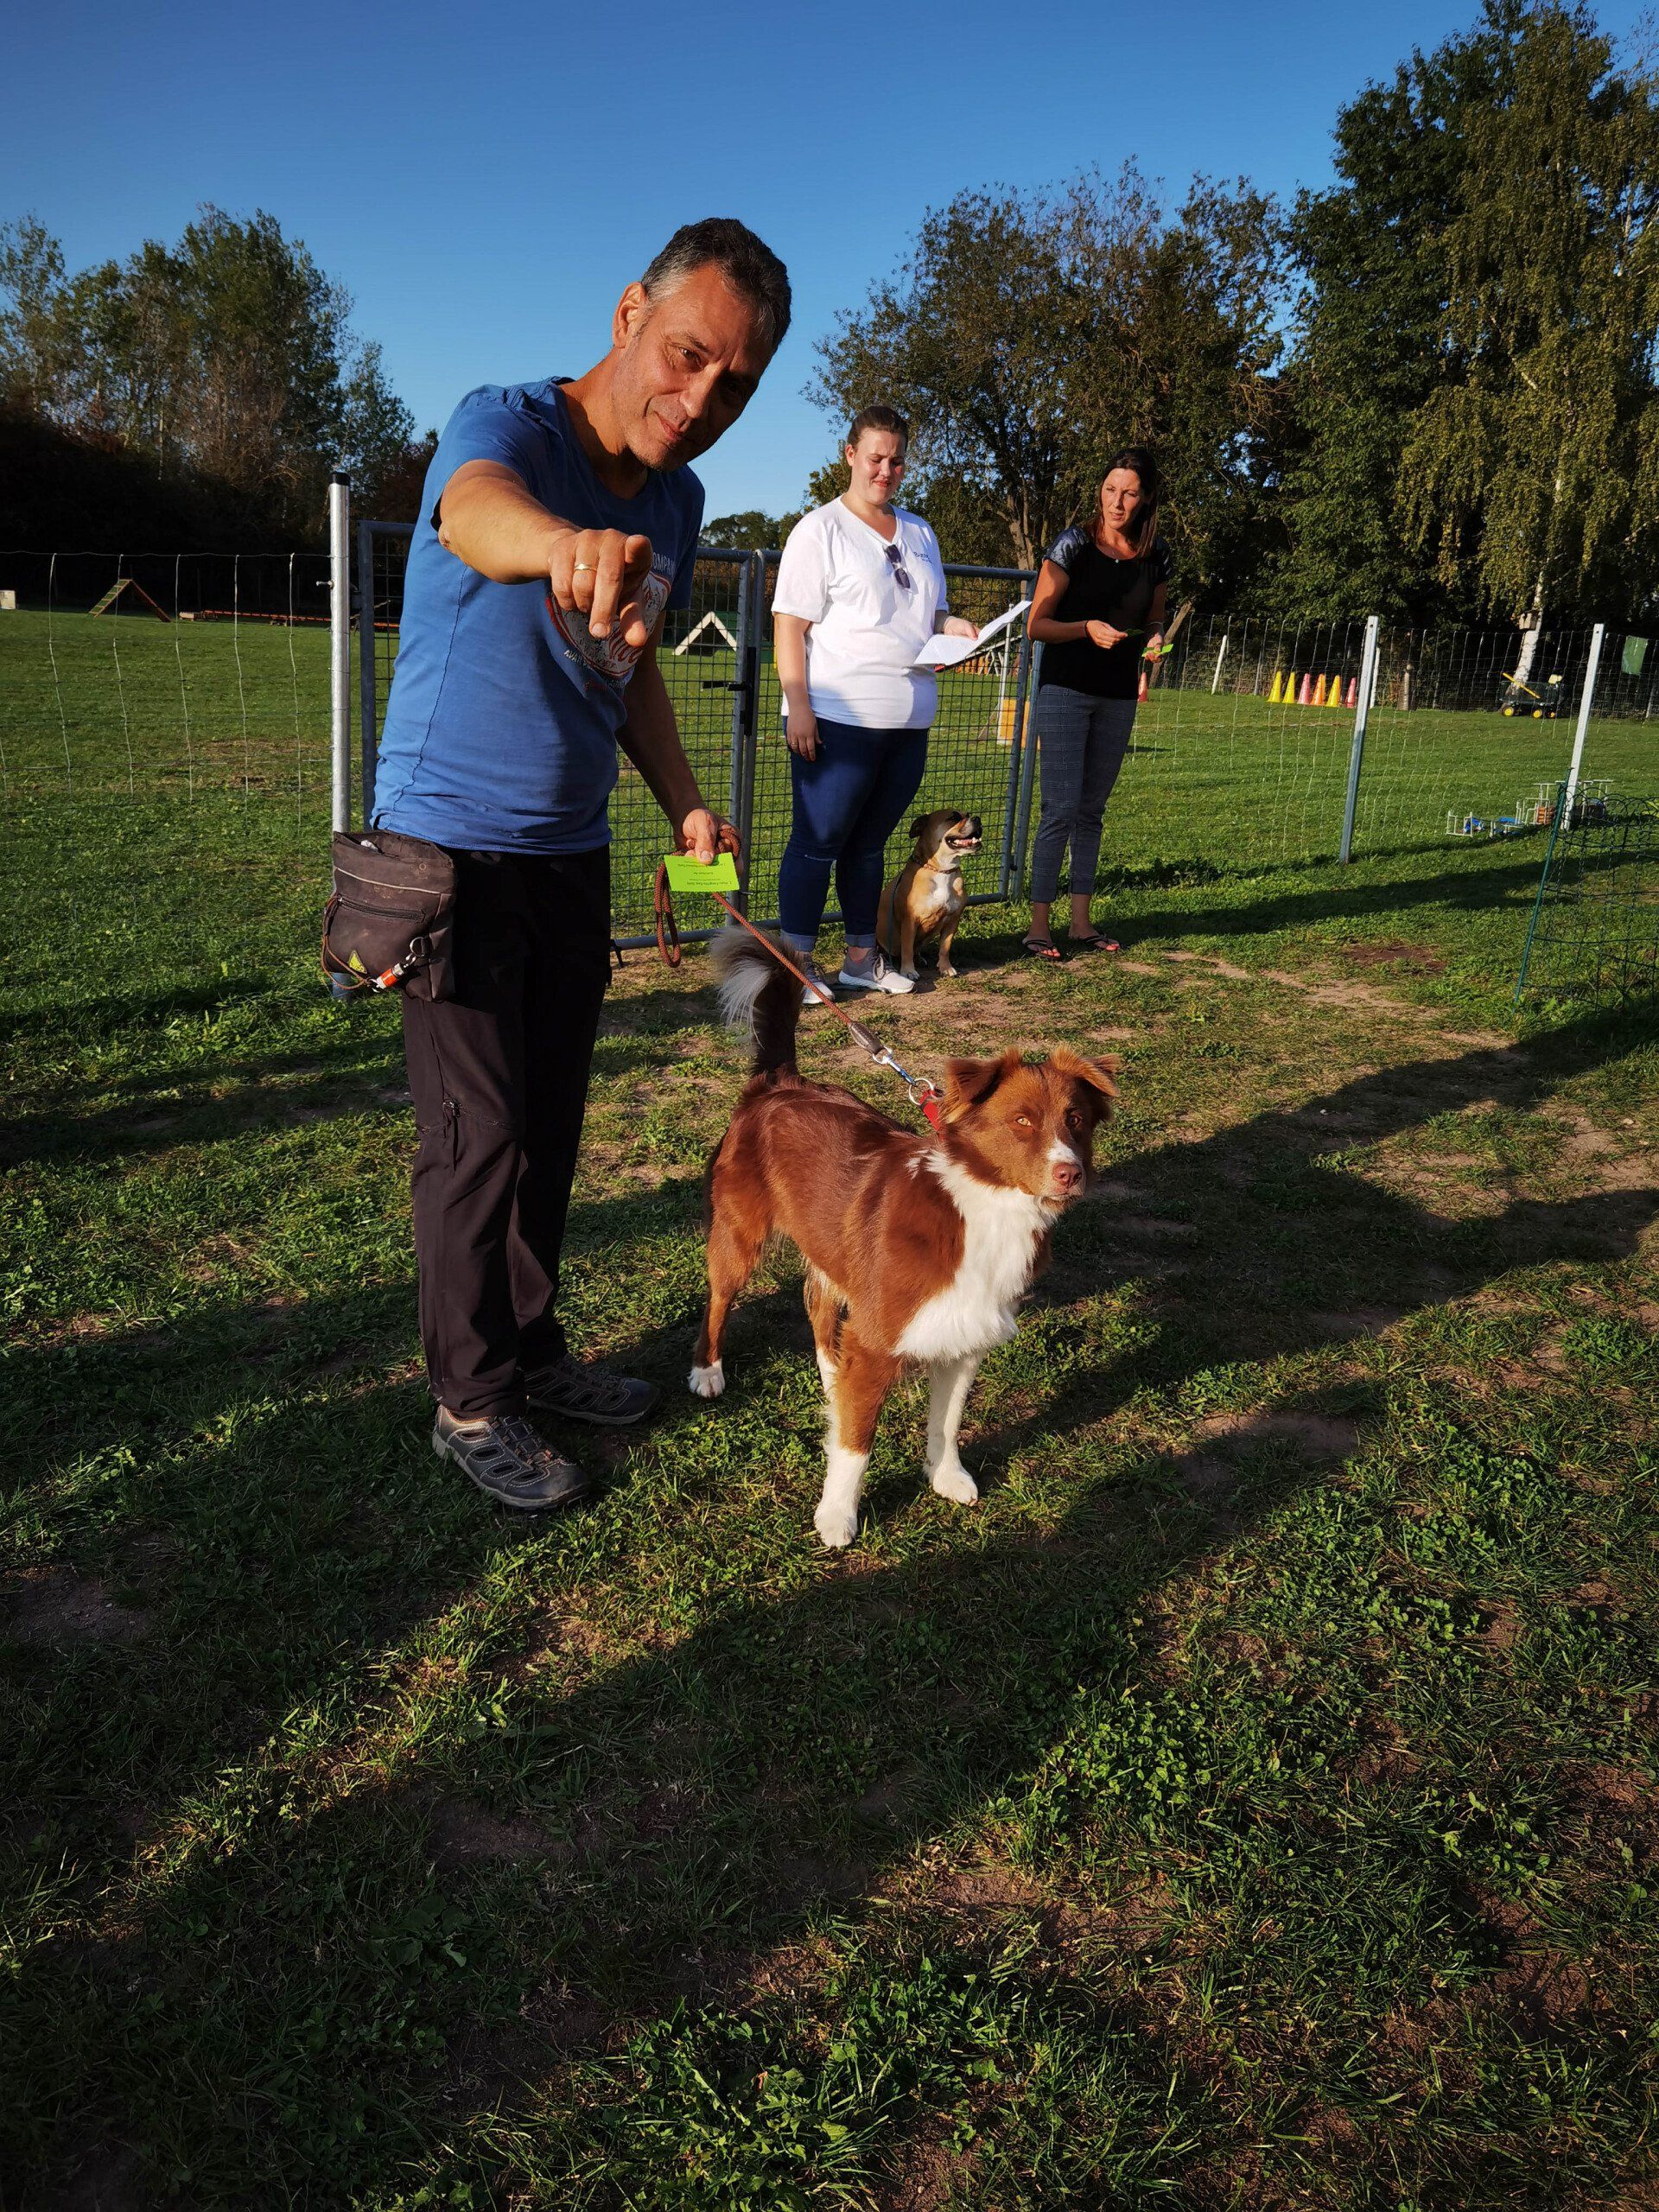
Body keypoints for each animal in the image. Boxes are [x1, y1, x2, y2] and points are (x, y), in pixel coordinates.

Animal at [688, 929, 1117, 1548]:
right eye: (1021, 1122)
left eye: (1077, 1120)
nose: (1070, 1174)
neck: (986, 1210)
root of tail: (779, 1082)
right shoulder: (881, 1337)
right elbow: (856, 1445)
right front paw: (837, 1516)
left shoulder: (963, 1334)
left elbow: (949, 1420)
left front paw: (945, 1476)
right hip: (738, 1235)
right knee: (719, 1299)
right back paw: (708, 1370)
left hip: (833, 1251)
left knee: (820, 1311)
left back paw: (832, 1380)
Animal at [877, 809, 982, 981]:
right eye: (953, 817)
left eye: (967, 814)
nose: (977, 818)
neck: (942, 869)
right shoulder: (910, 921)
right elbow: (907, 948)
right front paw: (908, 971)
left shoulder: (952, 920)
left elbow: (945, 947)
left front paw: (946, 967)